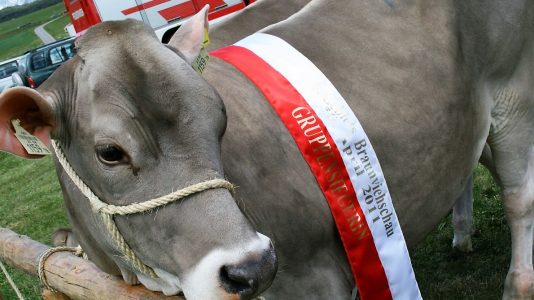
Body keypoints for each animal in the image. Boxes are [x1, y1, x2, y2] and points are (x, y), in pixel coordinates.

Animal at [0, 0, 532, 300]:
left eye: (219, 117)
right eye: (110, 152)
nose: (252, 269)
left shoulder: (316, 279)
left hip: (515, 100)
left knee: (518, 199)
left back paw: (517, 284)